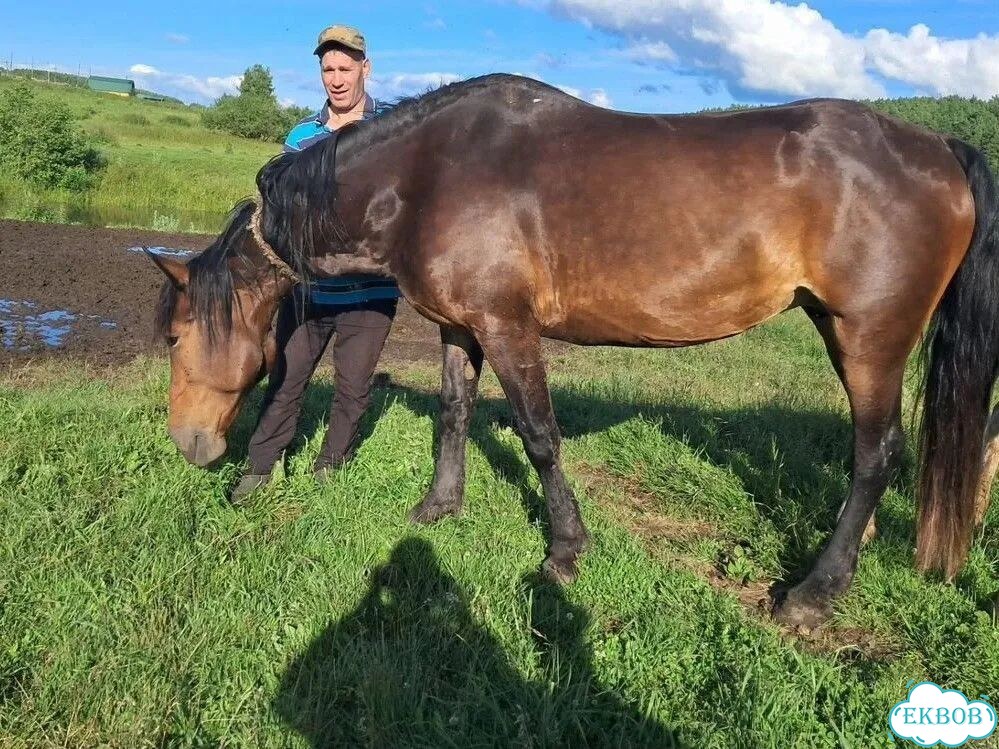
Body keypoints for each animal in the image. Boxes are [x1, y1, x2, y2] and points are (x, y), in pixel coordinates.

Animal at [148, 74, 997, 629]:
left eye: (177, 335)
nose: (188, 446)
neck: (428, 173)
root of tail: (939, 147)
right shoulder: (461, 327)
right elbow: (454, 412)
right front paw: (438, 505)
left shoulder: (508, 326)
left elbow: (539, 436)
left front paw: (563, 550)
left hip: (868, 336)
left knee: (875, 453)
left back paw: (813, 595)